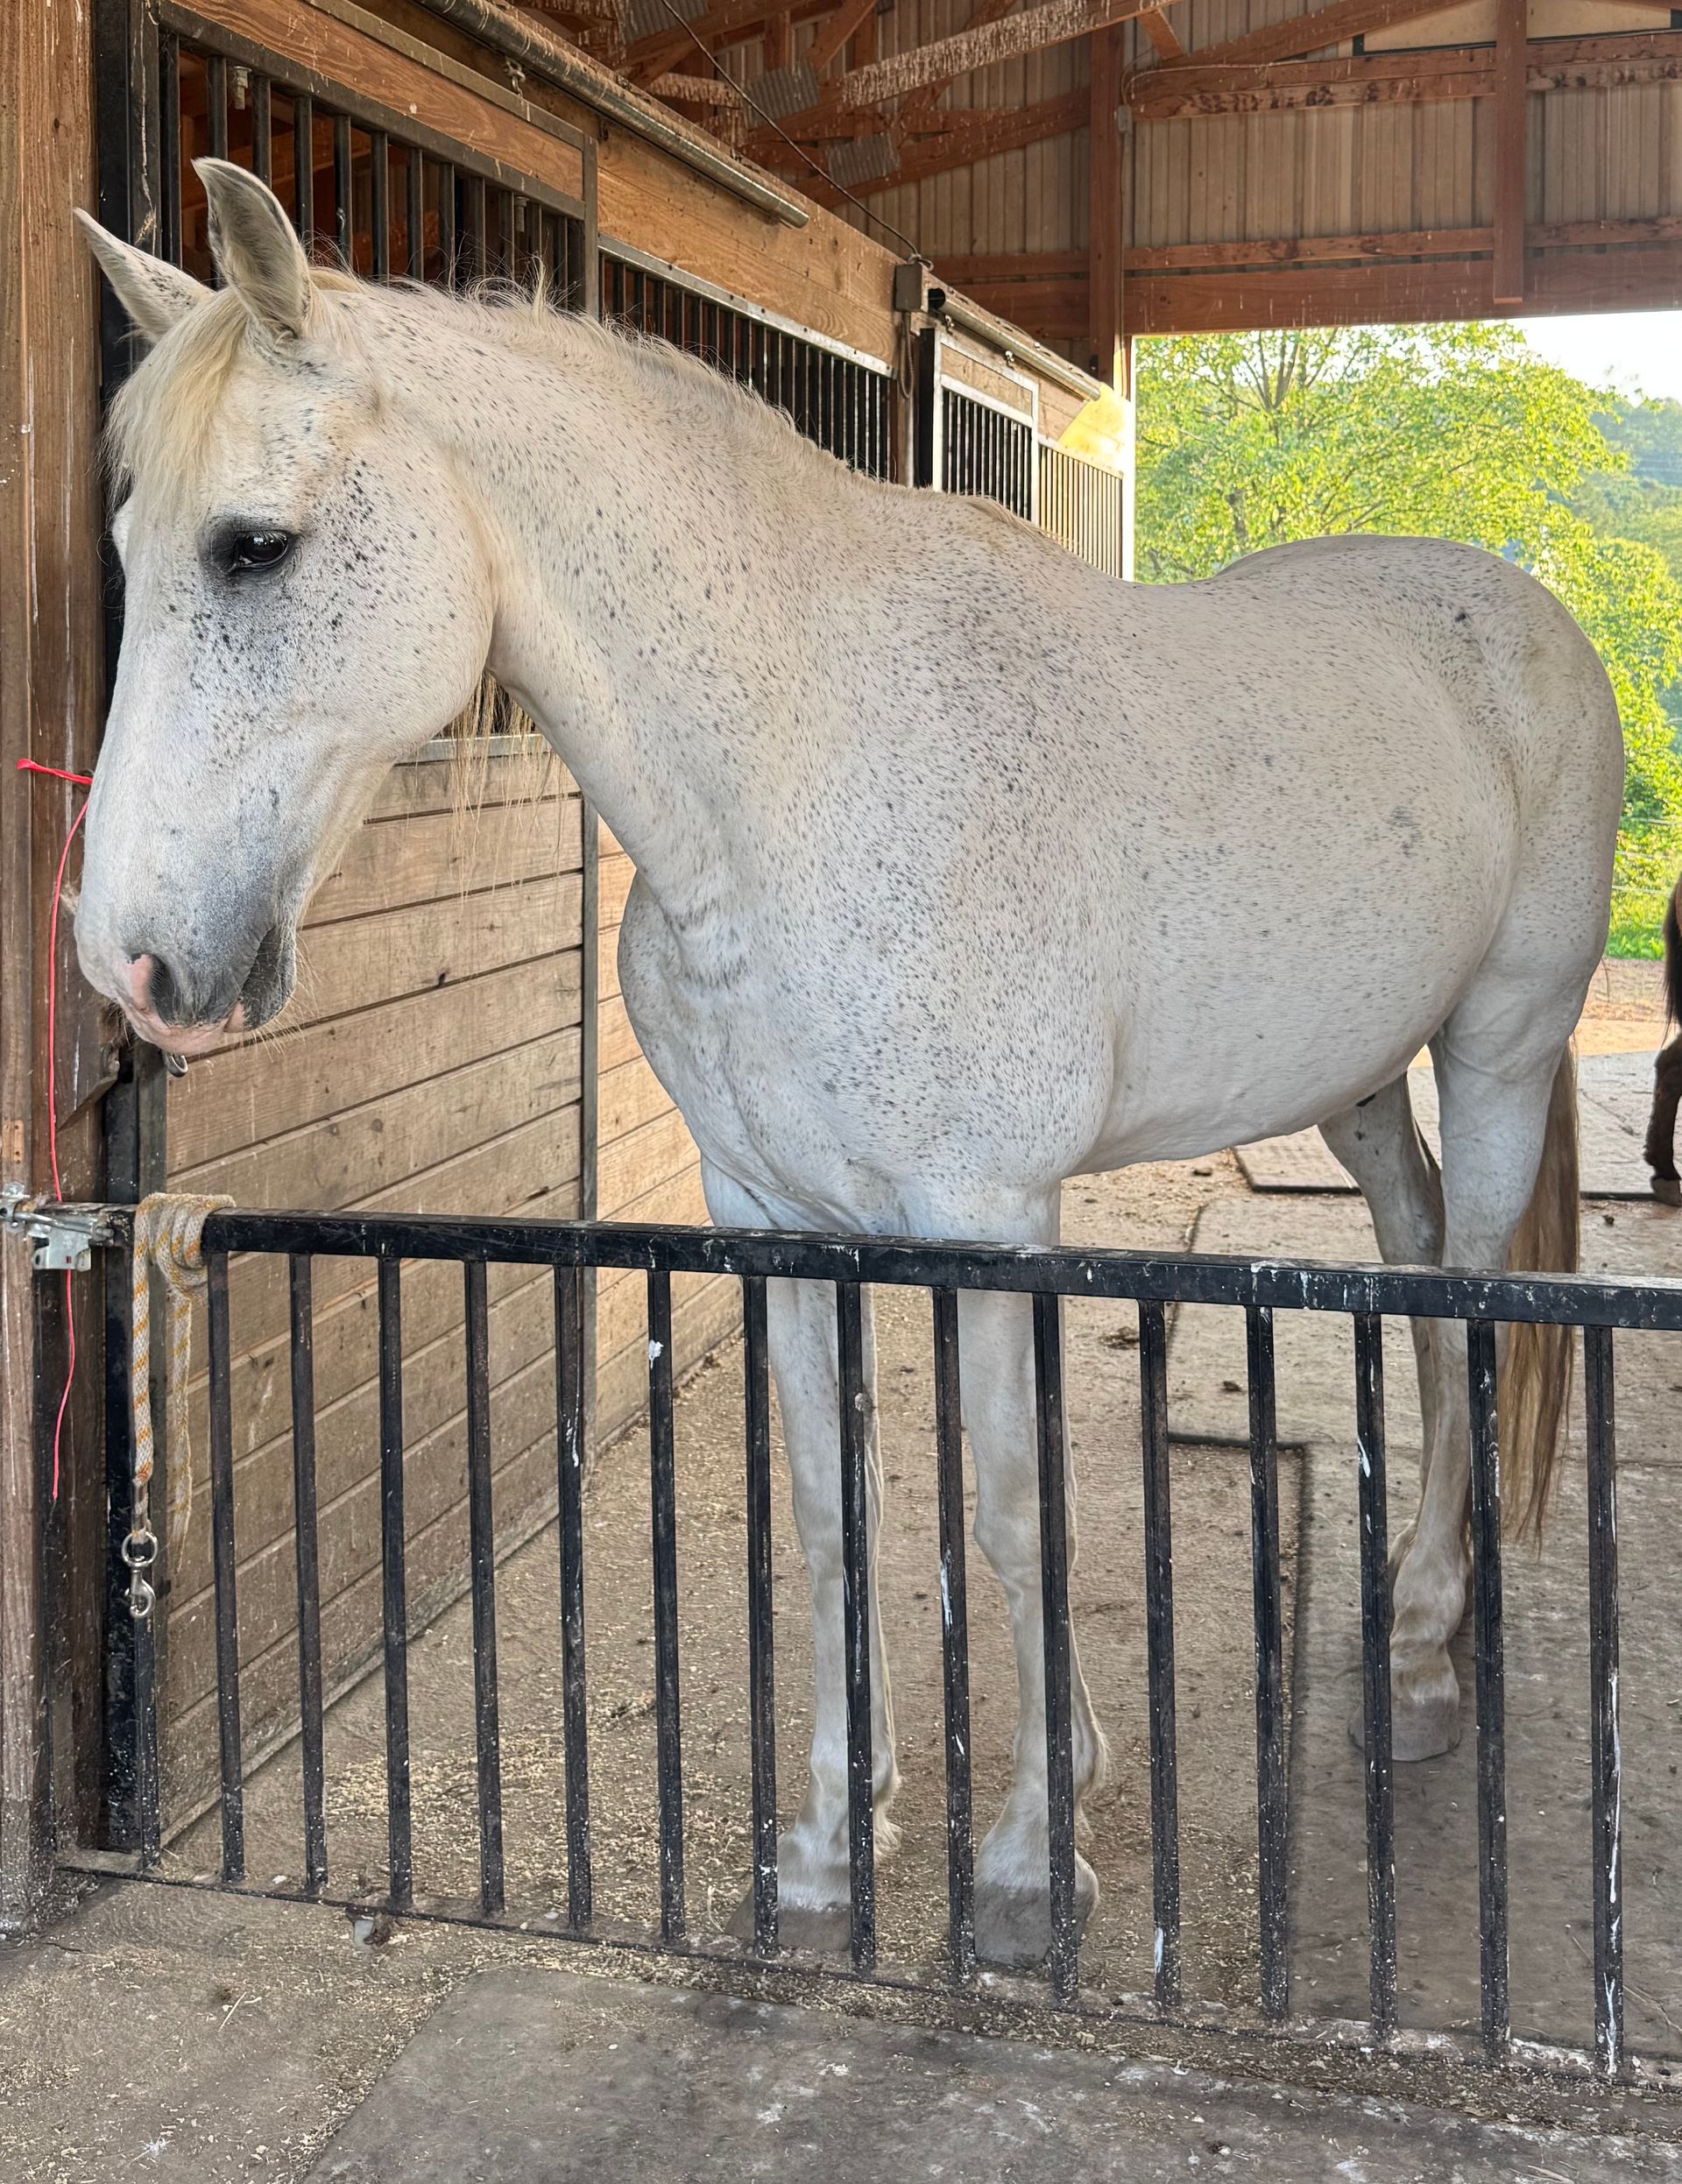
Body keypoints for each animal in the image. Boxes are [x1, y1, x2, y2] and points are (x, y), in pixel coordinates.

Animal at [74, 159, 1621, 1965]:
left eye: (254, 547)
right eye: (130, 543)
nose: (131, 962)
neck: (796, 773)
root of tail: (1525, 610)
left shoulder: (990, 1220)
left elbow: (1012, 1512)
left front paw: (1033, 1852)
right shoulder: (776, 1223)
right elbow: (830, 1508)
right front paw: (832, 1835)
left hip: (1502, 1045)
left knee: (1476, 1282)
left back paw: (1430, 1654)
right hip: (1364, 1082)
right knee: (1413, 1262)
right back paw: (1407, 1621)